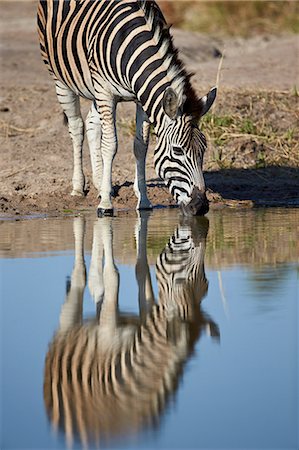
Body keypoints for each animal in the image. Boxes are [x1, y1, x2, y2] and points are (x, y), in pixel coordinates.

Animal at [37, 0, 217, 216]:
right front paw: (106, 204)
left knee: (91, 123)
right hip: (61, 79)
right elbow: (110, 145)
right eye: (178, 151)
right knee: (77, 127)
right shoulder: (106, 92)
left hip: (94, 89)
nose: (201, 206)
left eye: (203, 150)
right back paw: (78, 188)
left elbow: (141, 147)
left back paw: (99, 183)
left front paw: (143, 201)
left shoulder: (141, 97)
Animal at [44, 214, 220, 446]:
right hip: (67, 326)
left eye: (207, 284)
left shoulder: (147, 319)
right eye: (182, 280)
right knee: (78, 279)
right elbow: (113, 276)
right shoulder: (108, 333)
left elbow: (140, 270)